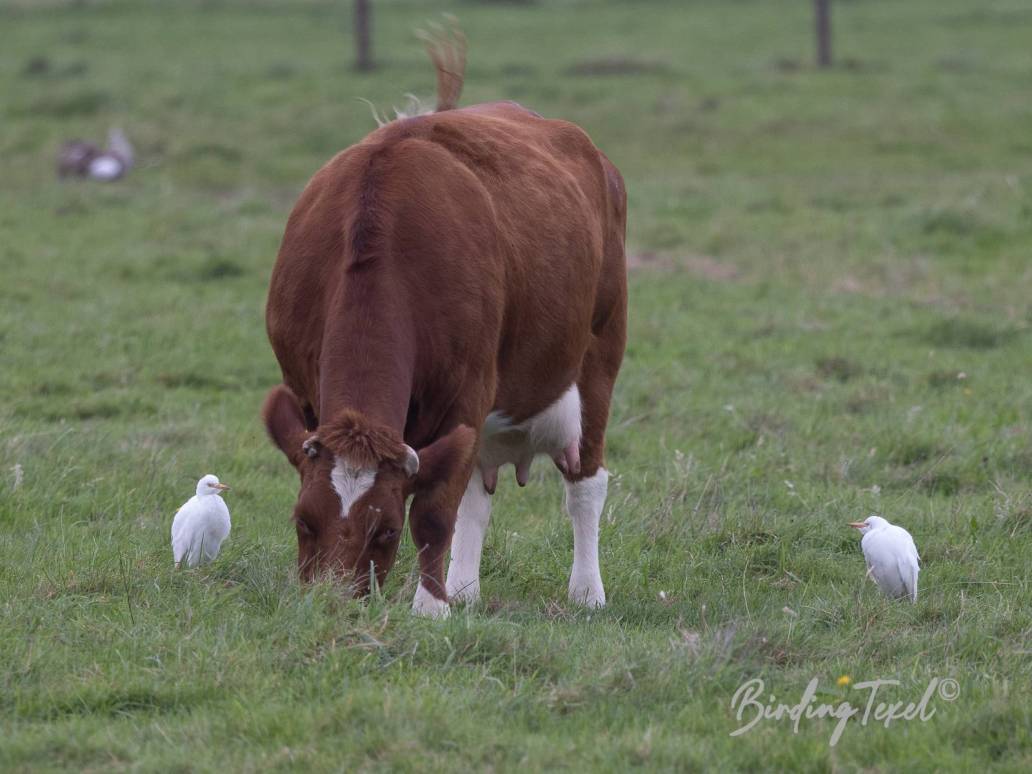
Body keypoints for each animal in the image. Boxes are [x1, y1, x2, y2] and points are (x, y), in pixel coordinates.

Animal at [262, 36, 623, 623]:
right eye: (303, 520)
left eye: (386, 531)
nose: (333, 604)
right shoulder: (305, 391)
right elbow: (453, 496)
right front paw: (446, 598)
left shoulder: (467, 391)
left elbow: (433, 513)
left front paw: (430, 608)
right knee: (475, 492)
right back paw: (466, 587)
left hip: (599, 355)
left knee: (585, 484)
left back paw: (587, 592)